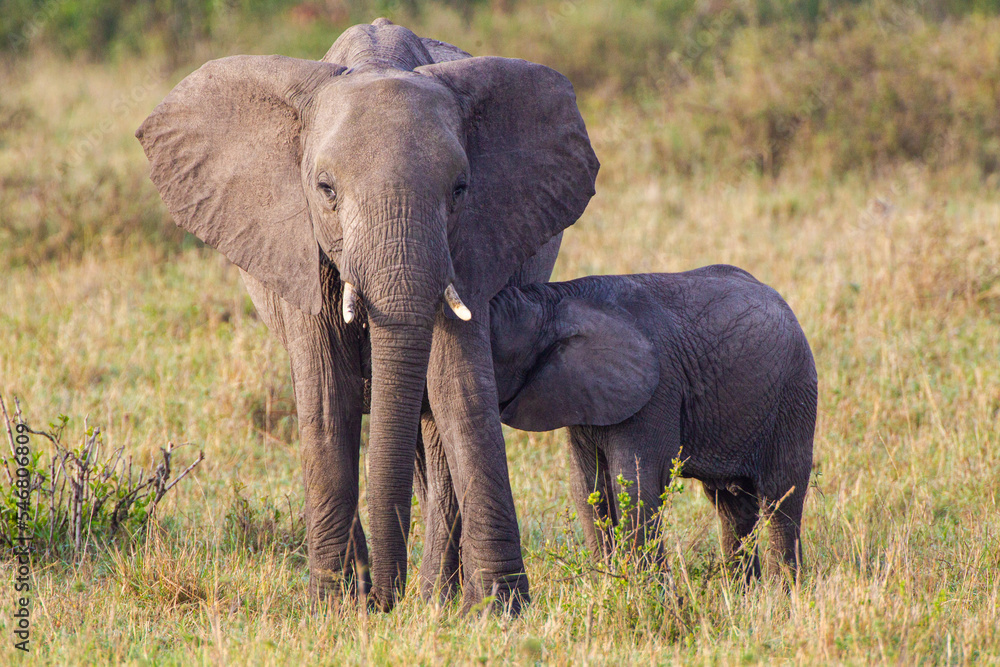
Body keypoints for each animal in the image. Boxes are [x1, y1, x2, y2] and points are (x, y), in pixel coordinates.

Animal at [137, 19, 596, 616]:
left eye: (461, 189)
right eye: (325, 189)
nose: (382, 599)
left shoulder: (473, 241)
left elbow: (459, 389)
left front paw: (501, 609)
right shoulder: (299, 247)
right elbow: (327, 396)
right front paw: (333, 607)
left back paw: (440, 598)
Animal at [488, 266, 816, 580]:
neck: (552, 301)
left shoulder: (656, 394)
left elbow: (635, 484)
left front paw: (649, 590)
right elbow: (587, 487)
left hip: (793, 394)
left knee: (780, 497)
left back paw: (784, 591)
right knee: (732, 507)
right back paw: (743, 591)